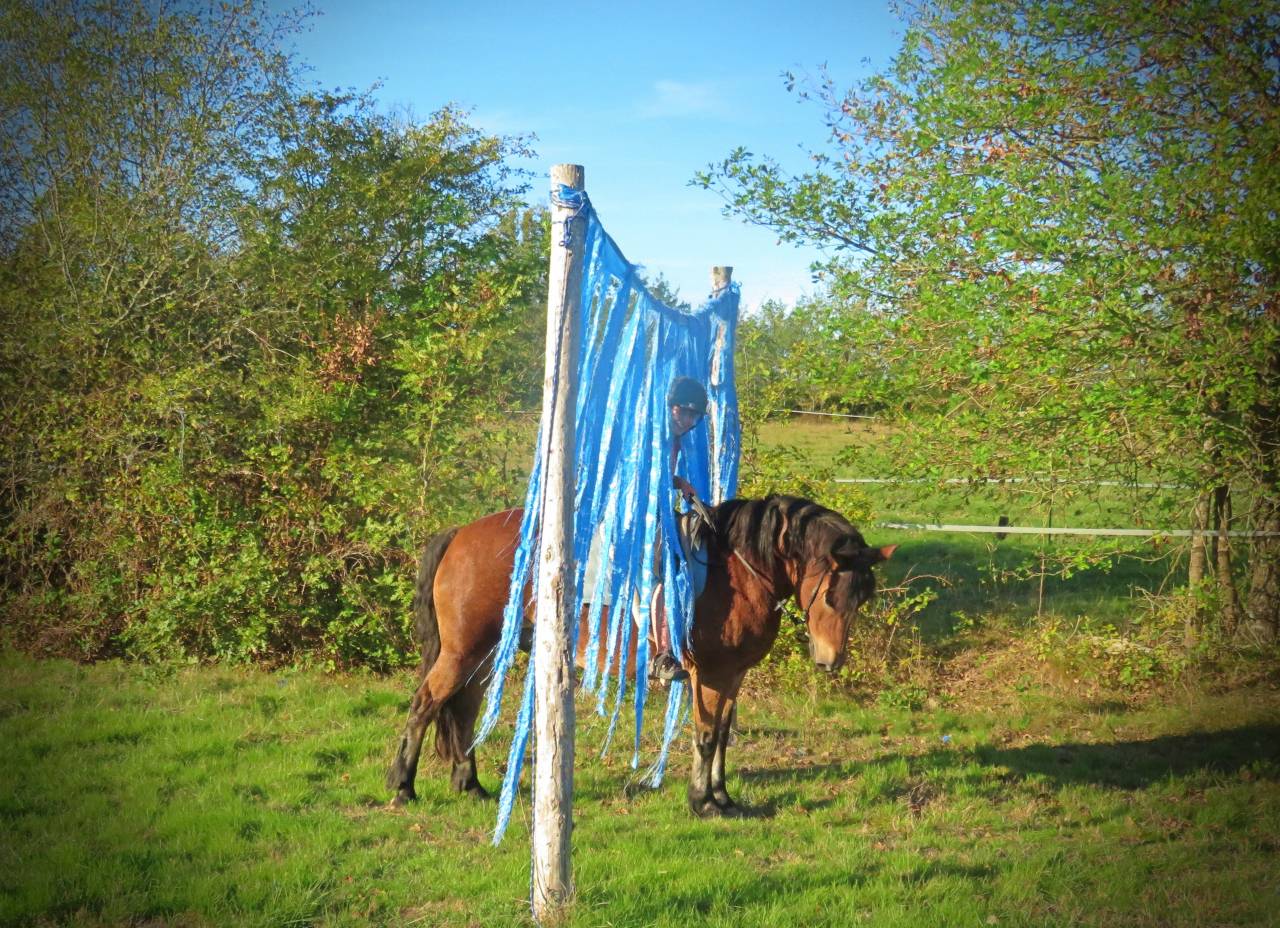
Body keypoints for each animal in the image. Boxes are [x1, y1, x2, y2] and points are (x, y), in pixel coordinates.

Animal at [385, 494, 896, 817]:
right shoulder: (711, 675)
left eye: (862, 597)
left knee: (463, 712)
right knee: (425, 705)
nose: (830, 660)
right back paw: (402, 787)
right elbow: (705, 737)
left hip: (486, 654)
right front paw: (702, 803)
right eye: (830, 594)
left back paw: (469, 785)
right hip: (463, 652)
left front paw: (724, 798)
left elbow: (723, 737)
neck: (738, 570)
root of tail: (461, 534)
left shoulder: (733, 676)